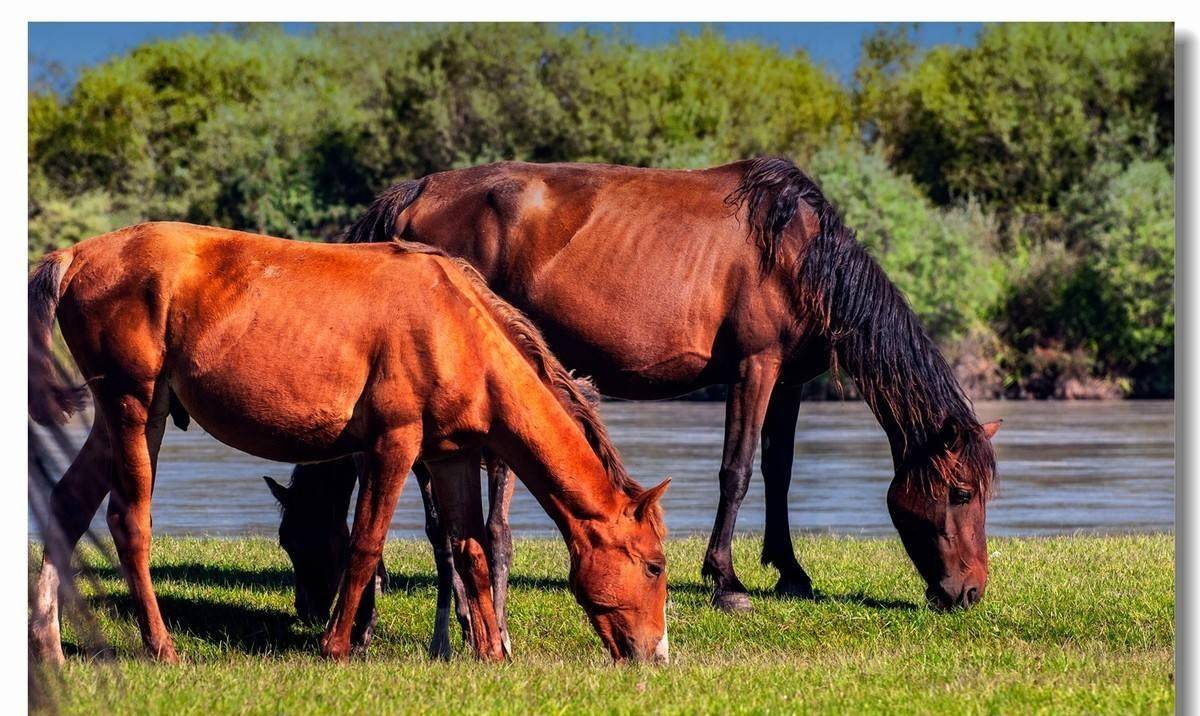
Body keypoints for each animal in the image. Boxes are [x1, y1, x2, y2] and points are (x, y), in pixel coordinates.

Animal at [28, 220, 672, 662]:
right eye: (655, 566)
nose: (655, 655)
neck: (457, 327)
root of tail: (75, 255)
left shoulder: (453, 458)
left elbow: (470, 551)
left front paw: (490, 652)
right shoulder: (393, 446)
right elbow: (366, 544)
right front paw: (337, 645)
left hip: (121, 419)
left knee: (67, 506)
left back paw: (48, 642)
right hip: (135, 410)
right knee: (127, 522)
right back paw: (161, 646)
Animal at [304, 154, 998, 609]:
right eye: (960, 492)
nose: (969, 593)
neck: (797, 251)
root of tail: (418, 190)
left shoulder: (790, 380)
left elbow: (779, 473)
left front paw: (791, 573)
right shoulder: (754, 367)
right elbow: (737, 471)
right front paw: (726, 581)